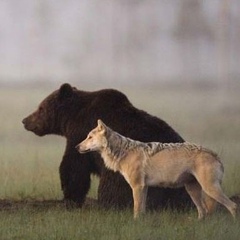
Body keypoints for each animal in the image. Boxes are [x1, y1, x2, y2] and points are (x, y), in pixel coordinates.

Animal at [22, 83, 191, 210]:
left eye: (41, 108)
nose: (25, 120)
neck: (71, 118)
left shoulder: (80, 134)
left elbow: (74, 167)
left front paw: (70, 198)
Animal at [76, 119, 237, 218]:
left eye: (89, 137)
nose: (77, 147)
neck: (123, 152)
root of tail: (215, 154)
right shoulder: (144, 187)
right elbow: (142, 210)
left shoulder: (137, 187)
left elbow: (136, 209)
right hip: (193, 191)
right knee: (203, 212)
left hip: (210, 189)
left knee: (233, 206)